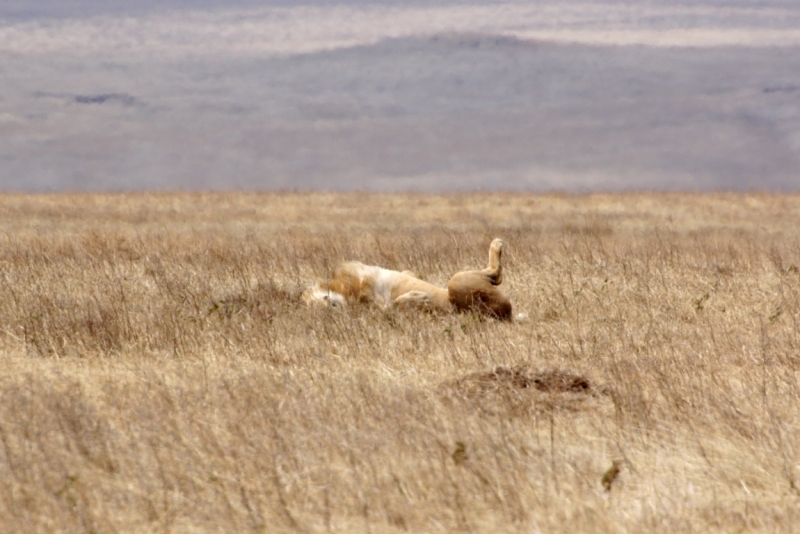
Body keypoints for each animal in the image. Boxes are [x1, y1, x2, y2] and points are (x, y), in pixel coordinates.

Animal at [300, 240, 512, 322]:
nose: (333, 306)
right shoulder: (377, 305)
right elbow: (393, 306)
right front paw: (419, 297)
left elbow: (409, 274)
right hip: (457, 282)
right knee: (496, 274)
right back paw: (496, 245)